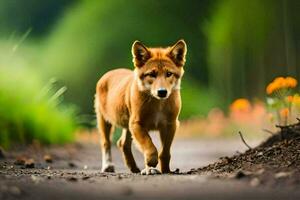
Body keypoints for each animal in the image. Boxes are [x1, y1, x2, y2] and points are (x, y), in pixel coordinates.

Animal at [95, 39, 186, 174]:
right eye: (152, 74)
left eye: (169, 74)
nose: (162, 92)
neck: (158, 104)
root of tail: (110, 72)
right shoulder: (137, 124)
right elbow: (149, 145)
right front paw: (151, 164)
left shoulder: (170, 124)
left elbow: (164, 151)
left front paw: (165, 170)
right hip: (104, 120)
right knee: (106, 142)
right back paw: (108, 166)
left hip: (127, 125)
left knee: (123, 143)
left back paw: (134, 168)